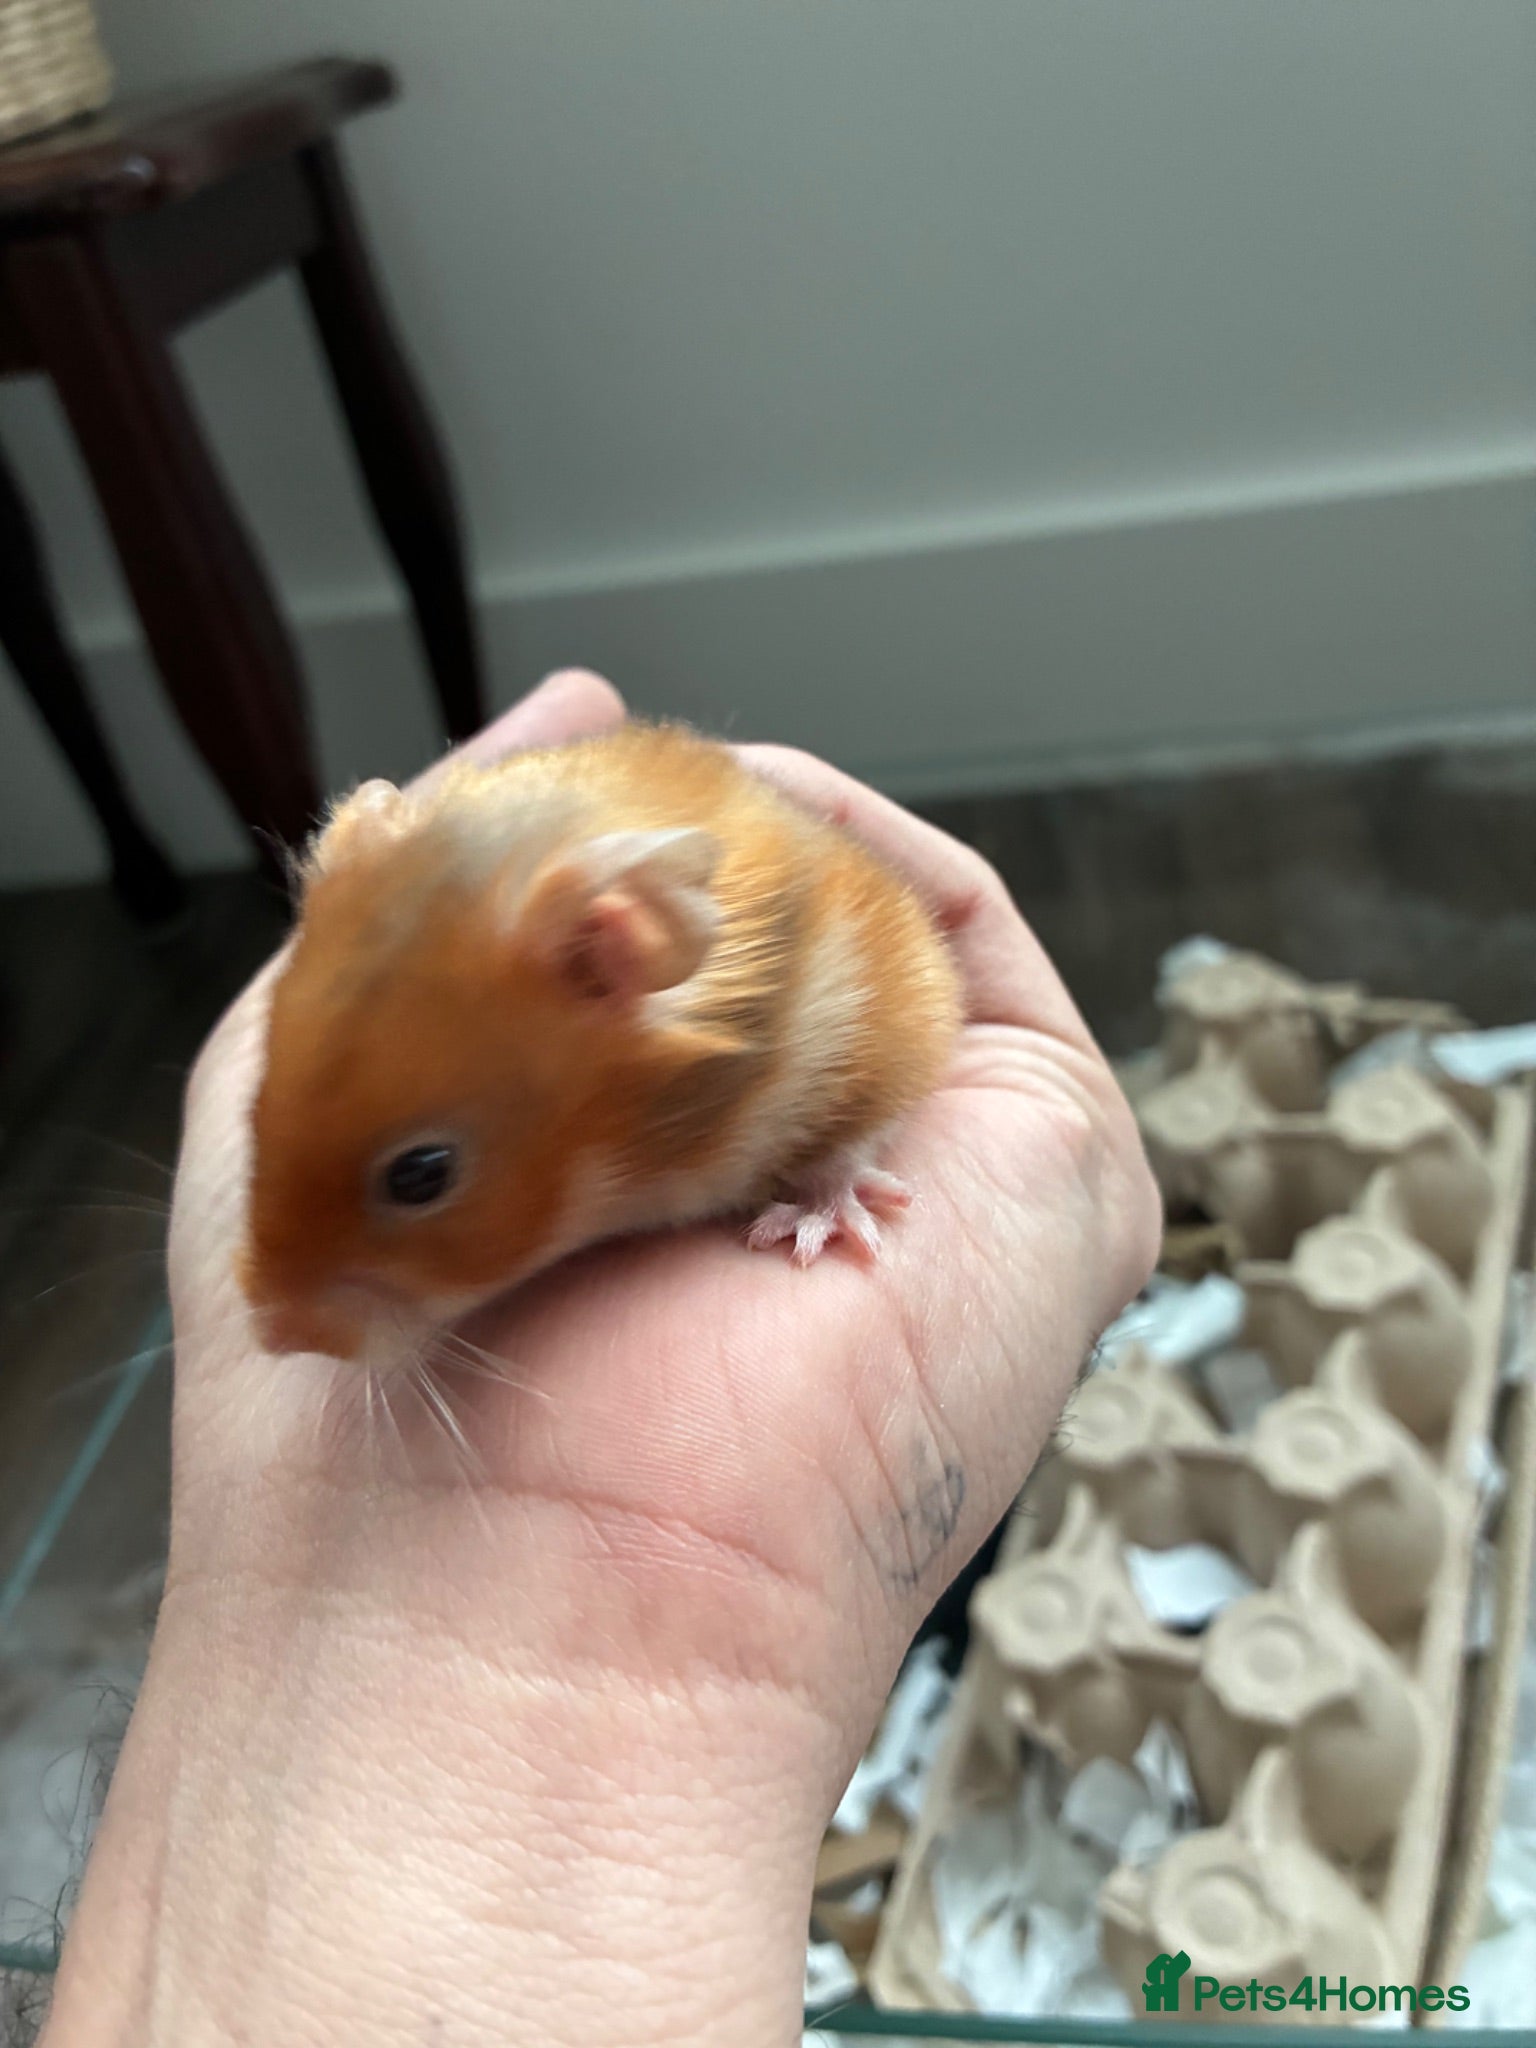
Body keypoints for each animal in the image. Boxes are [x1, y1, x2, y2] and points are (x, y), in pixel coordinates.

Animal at [241, 722, 962, 1363]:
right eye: (257, 1108)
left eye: (422, 1175)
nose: (276, 1338)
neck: (640, 1155)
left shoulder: (884, 1025)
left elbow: (848, 1146)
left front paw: (809, 1228)